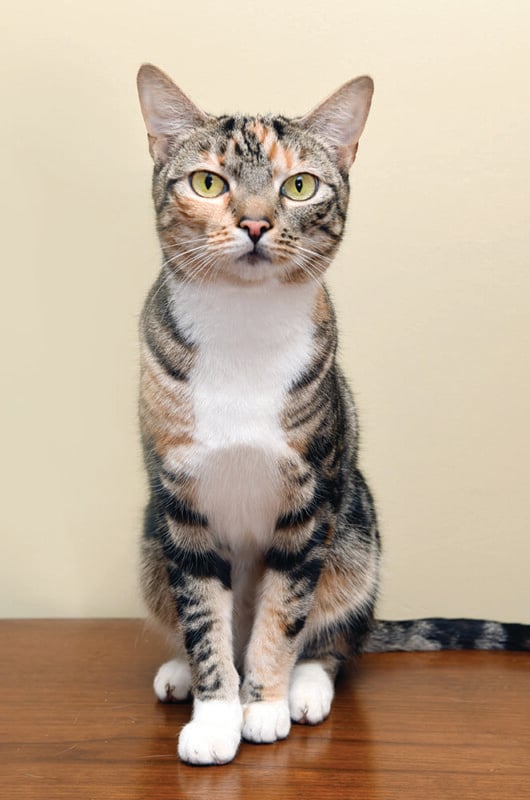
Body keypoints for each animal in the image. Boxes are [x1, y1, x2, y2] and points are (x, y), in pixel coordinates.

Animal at [137, 65, 528, 764]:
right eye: (208, 182)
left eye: (300, 185)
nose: (256, 224)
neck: (242, 333)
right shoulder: (179, 503)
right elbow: (203, 615)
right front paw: (215, 717)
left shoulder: (311, 499)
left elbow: (283, 611)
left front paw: (262, 705)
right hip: (150, 539)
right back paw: (181, 671)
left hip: (356, 533)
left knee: (335, 636)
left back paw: (306, 686)